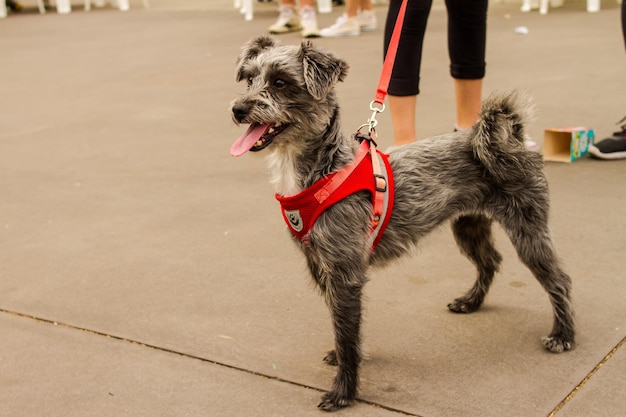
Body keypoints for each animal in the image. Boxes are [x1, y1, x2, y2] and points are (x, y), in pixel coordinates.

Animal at [228, 35, 572, 410]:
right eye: (249, 78)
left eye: (280, 82)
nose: (238, 109)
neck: (325, 170)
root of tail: (513, 139)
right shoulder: (320, 266)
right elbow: (343, 326)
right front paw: (344, 358)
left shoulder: (344, 273)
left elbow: (345, 330)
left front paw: (343, 391)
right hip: (469, 225)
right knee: (490, 260)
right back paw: (471, 302)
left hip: (528, 230)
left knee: (559, 279)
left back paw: (564, 334)